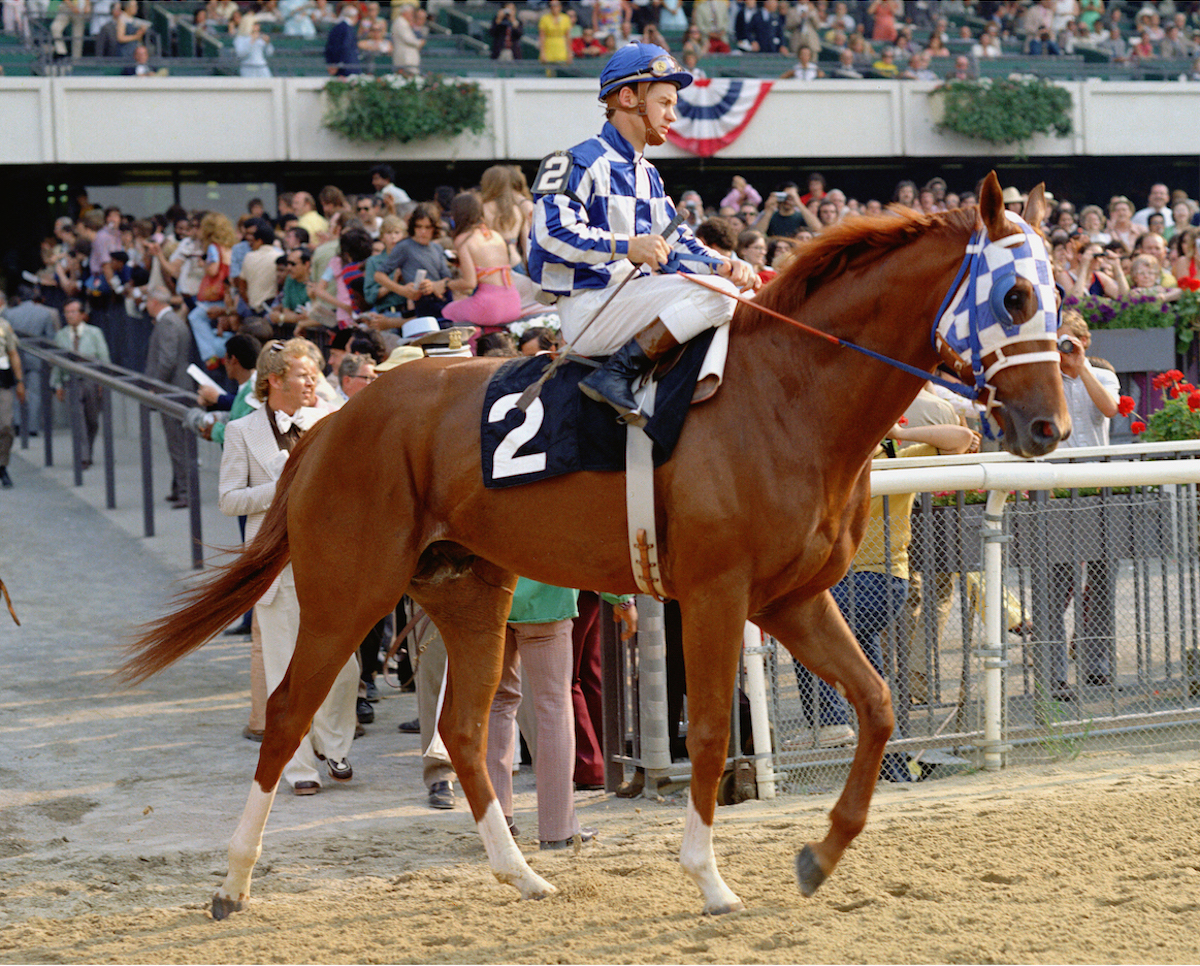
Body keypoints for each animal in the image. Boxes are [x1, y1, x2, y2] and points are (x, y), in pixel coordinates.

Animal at [121, 172, 1065, 921]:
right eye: (1014, 298)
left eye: (1059, 298)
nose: (1049, 426)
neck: (789, 395)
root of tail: (328, 424)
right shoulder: (717, 594)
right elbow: (711, 731)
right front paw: (711, 880)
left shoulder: (792, 598)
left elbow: (876, 705)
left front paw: (819, 854)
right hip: (347, 590)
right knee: (288, 715)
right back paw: (232, 883)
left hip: (469, 588)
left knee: (463, 730)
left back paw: (521, 873)